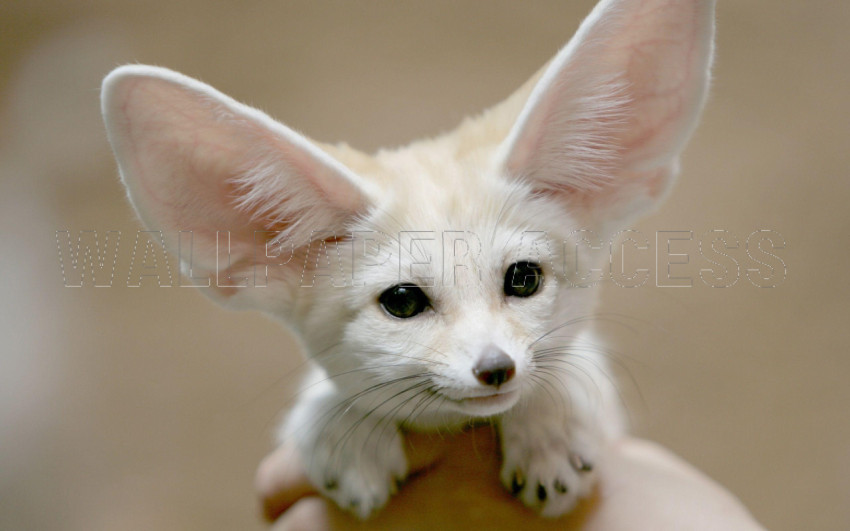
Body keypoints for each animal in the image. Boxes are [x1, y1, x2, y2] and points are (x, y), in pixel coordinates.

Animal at [101, 0, 715, 519]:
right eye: (402, 301)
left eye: (523, 278)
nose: (496, 368)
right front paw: (344, 429)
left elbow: (571, 365)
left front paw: (549, 427)